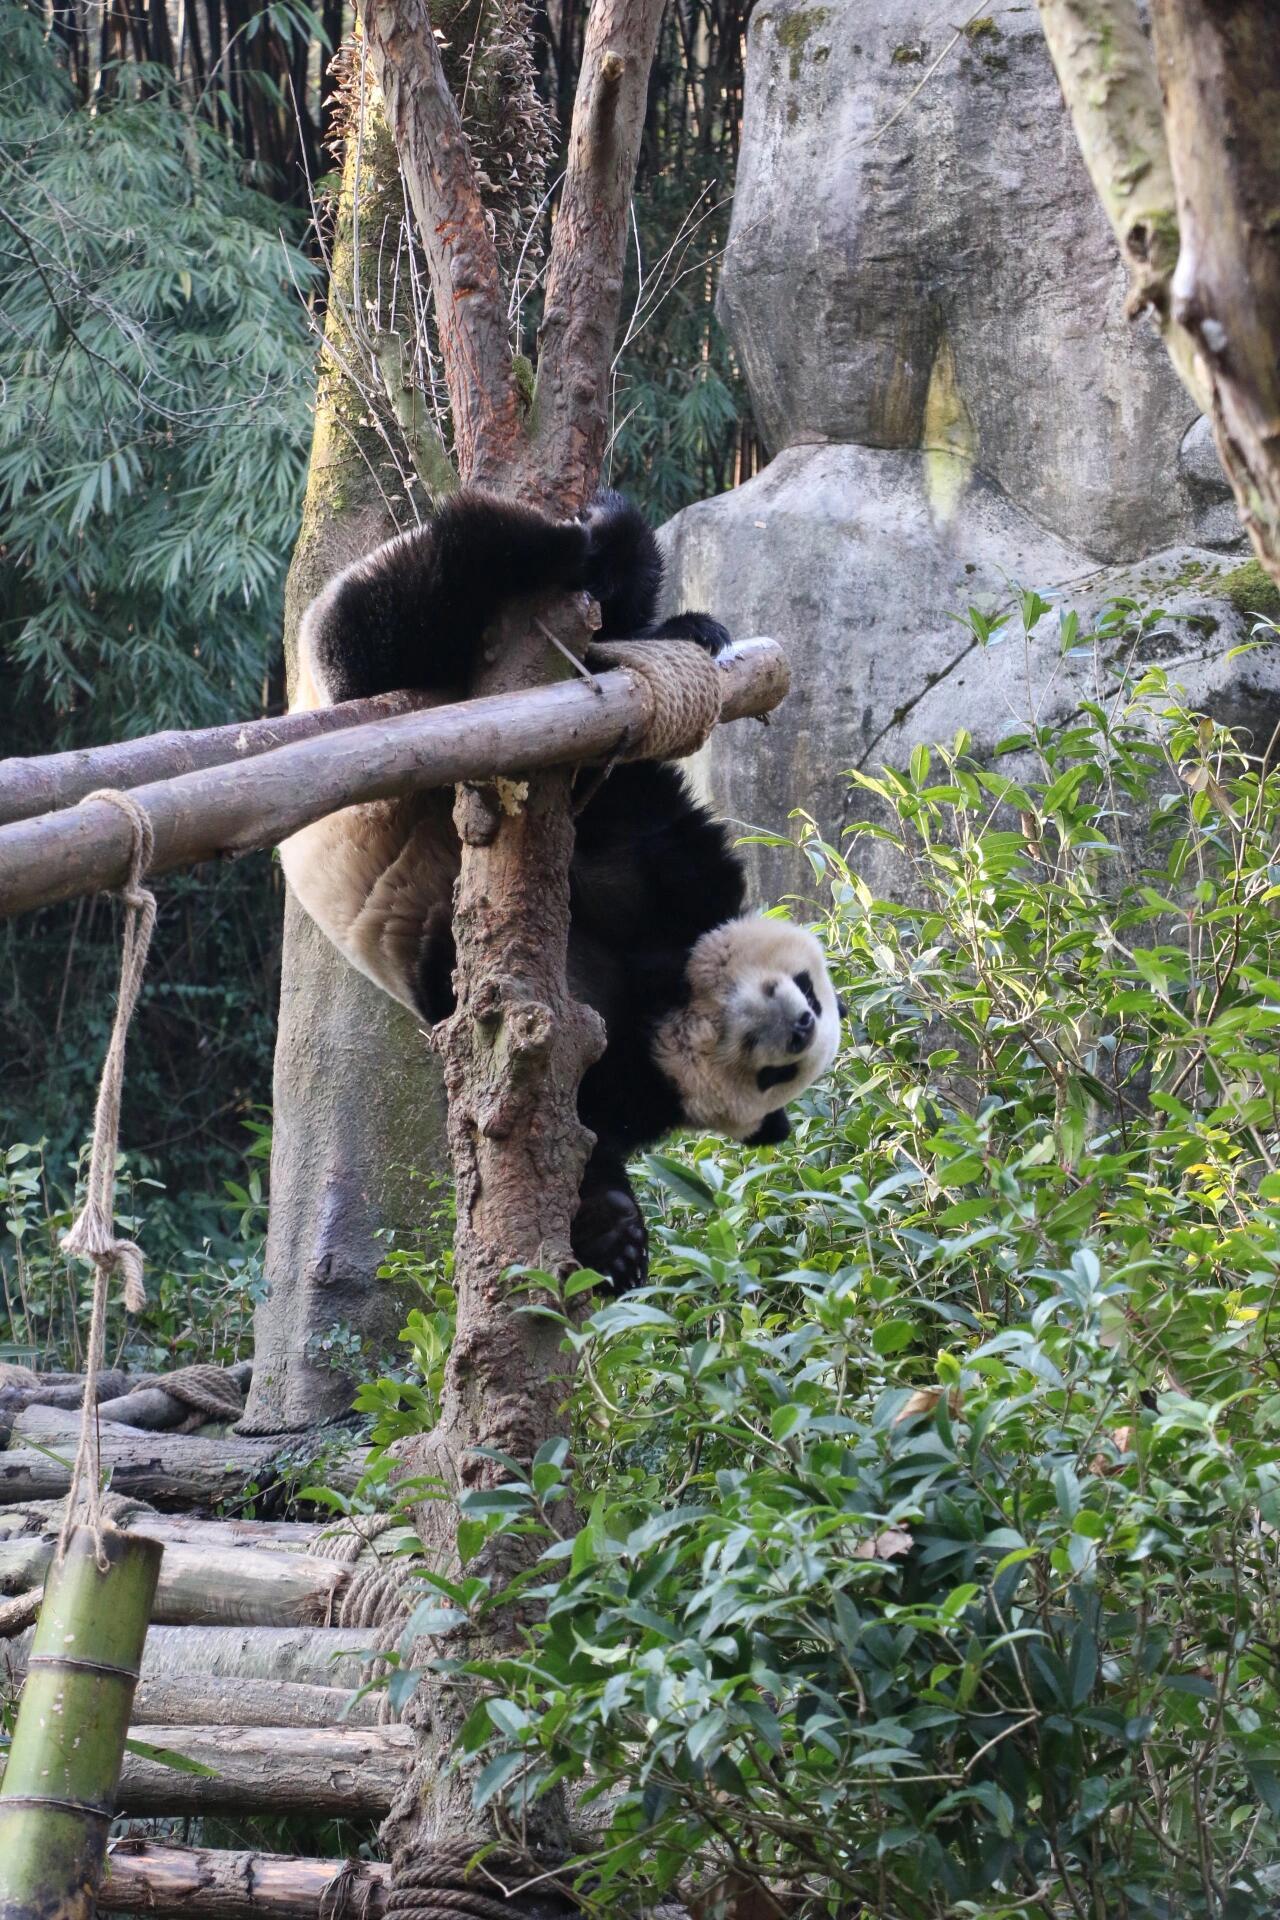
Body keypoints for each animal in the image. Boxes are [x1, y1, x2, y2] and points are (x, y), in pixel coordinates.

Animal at [280, 487, 840, 1290]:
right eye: (810, 993)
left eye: (782, 1072)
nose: (796, 1024)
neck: (670, 1010)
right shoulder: (655, 860)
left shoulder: (635, 1080)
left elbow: (583, 1125)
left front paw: (616, 1237)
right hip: (365, 678)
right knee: (409, 603)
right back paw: (576, 544)